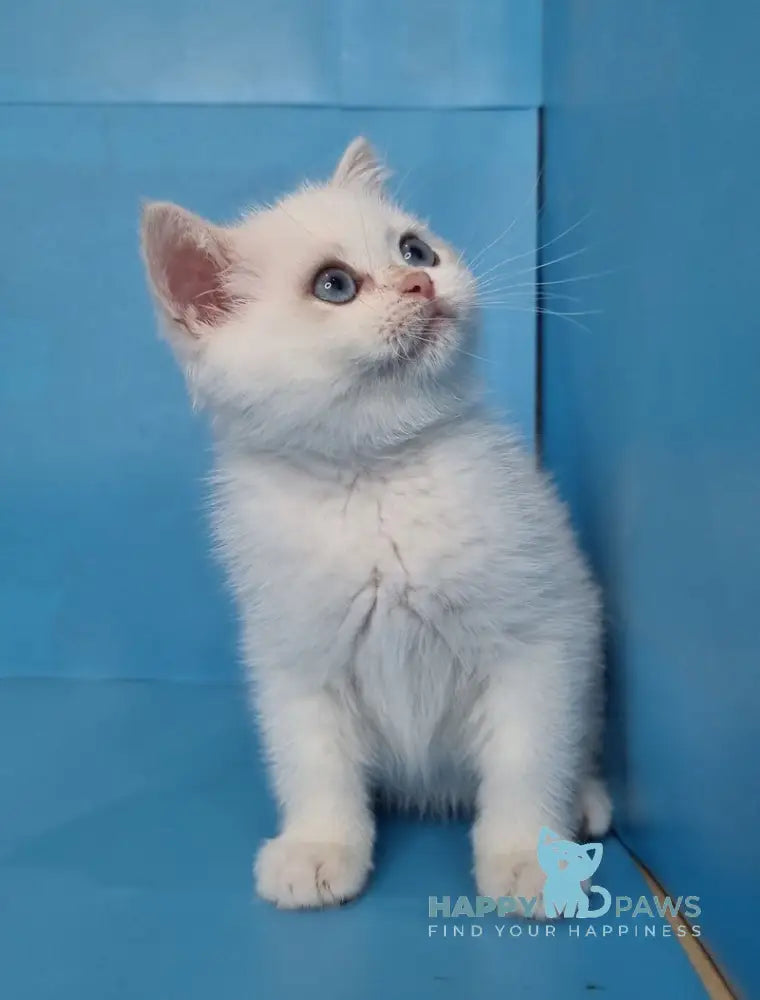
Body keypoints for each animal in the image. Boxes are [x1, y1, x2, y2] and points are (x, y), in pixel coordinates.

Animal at [138, 139, 612, 916]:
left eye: (415, 249)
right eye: (334, 286)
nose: (420, 282)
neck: (376, 477)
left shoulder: (541, 635)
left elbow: (528, 757)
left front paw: (528, 856)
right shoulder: (296, 658)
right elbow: (313, 762)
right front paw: (319, 846)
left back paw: (584, 800)